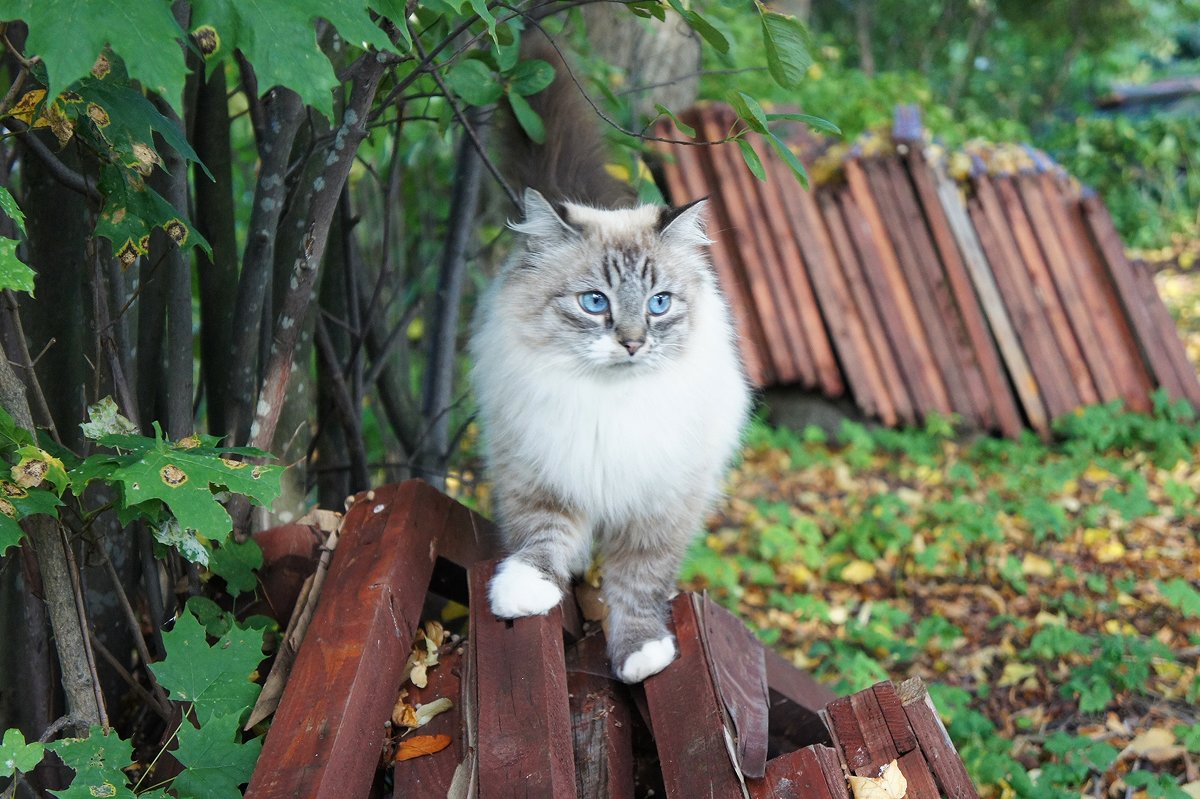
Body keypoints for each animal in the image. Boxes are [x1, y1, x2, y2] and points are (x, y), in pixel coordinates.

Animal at [470, 38, 744, 686]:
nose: (633, 342)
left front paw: (640, 655)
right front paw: (522, 593)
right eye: (595, 303)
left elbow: (638, 584)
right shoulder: (540, 473)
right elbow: (542, 539)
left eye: (658, 303)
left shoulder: (661, 505)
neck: (608, 401)